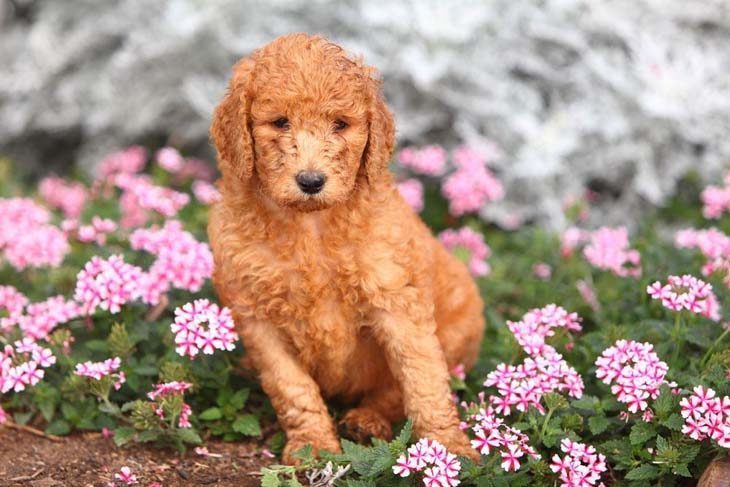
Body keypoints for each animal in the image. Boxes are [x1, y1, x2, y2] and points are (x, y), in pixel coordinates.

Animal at [208, 34, 484, 466]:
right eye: (280, 122)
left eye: (340, 124)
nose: (310, 181)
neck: (311, 226)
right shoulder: (257, 317)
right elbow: (291, 386)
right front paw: (312, 445)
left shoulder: (396, 300)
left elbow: (422, 379)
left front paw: (446, 448)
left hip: (459, 331)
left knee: (394, 392)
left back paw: (366, 421)